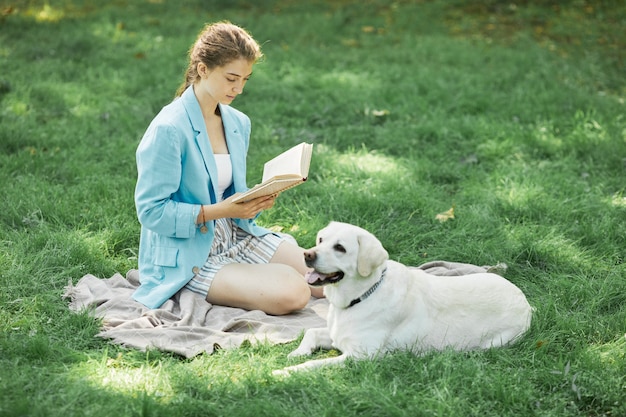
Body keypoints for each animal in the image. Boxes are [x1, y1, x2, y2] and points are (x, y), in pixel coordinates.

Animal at [270, 221, 528, 374]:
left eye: (340, 248)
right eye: (321, 240)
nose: (307, 255)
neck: (361, 296)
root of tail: (525, 301)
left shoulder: (360, 356)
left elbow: (313, 364)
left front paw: (283, 372)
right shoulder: (337, 335)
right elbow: (311, 332)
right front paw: (296, 353)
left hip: (497, 342)